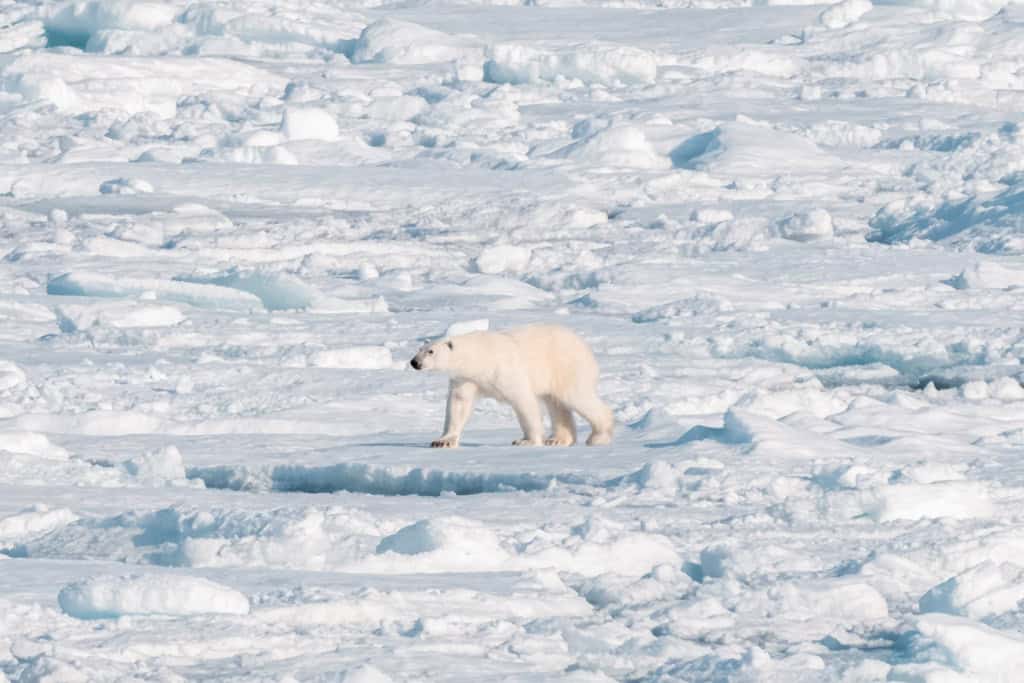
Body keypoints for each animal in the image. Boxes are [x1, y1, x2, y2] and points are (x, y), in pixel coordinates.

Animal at [410, 324, 614, 448]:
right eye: (419, 349)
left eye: (431, 351)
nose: (414, 362)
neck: (480, 357)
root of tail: (585, 347)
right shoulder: (466, 378)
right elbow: (458, 405)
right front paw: (442, 441)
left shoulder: (504, 371)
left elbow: (523, 401)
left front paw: (526, 441)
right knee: (556, 403)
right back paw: (557, 440)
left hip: (566, 367)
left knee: (576, 397)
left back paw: (598, 436)